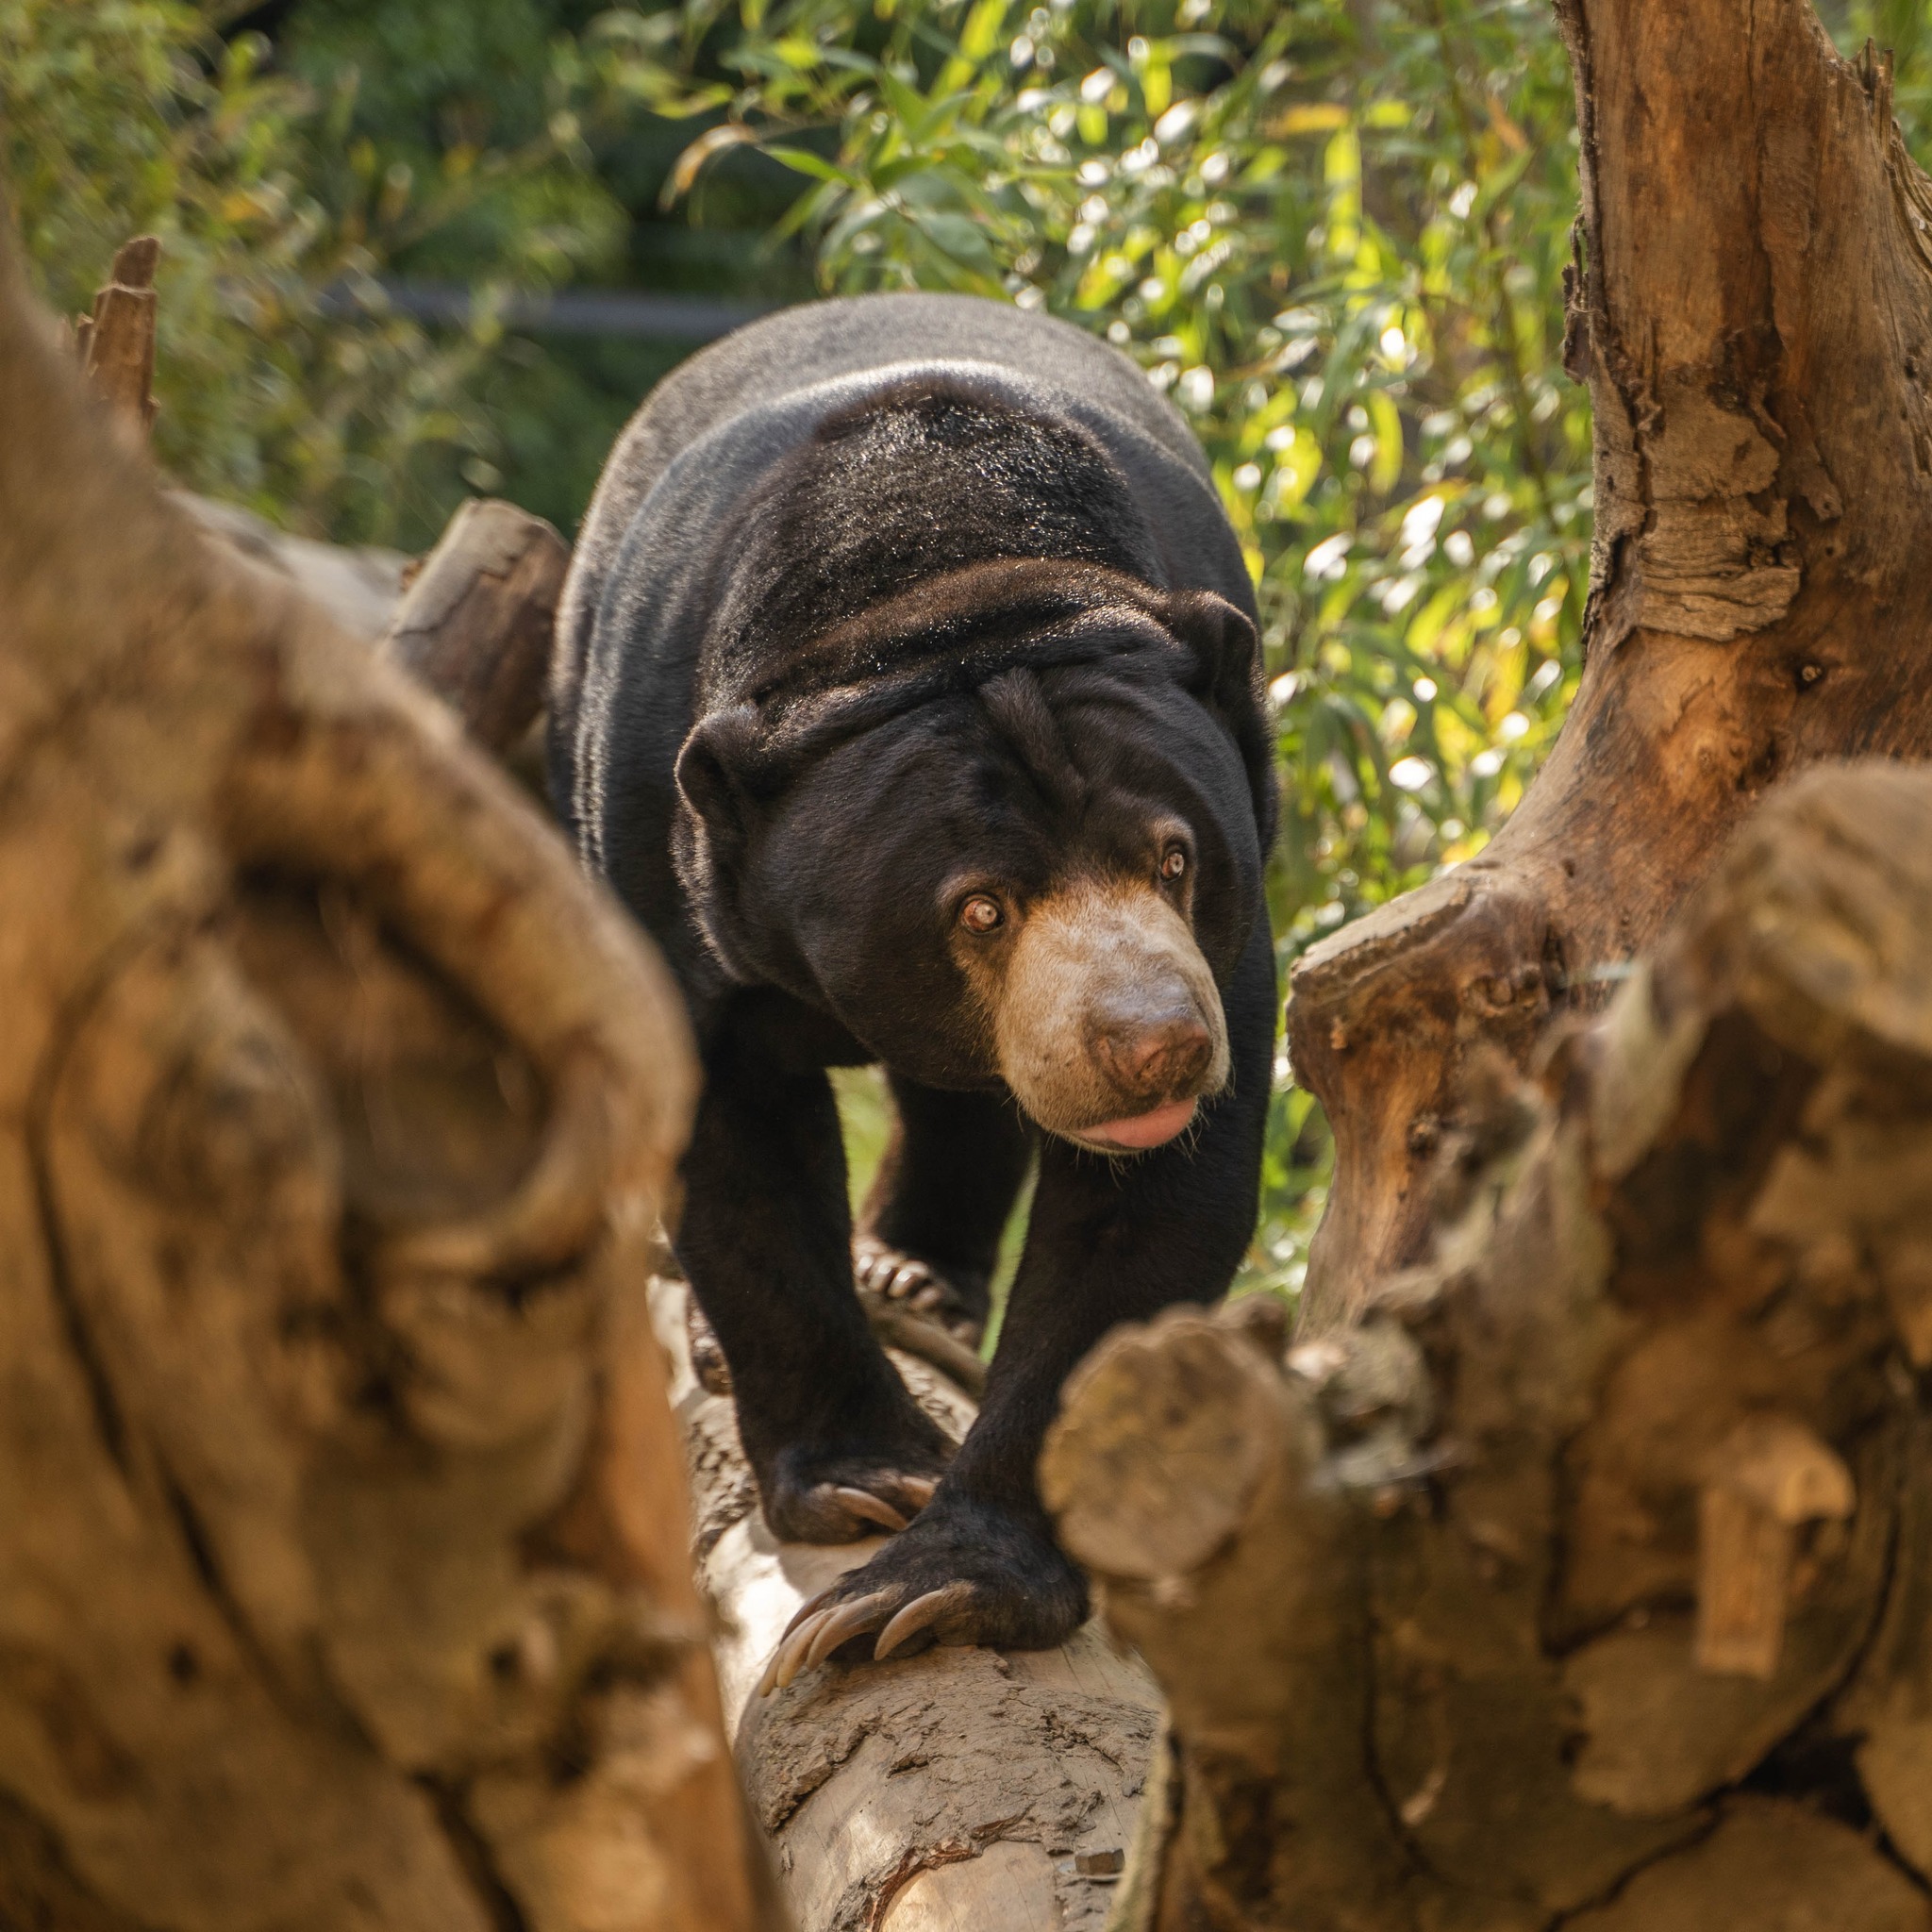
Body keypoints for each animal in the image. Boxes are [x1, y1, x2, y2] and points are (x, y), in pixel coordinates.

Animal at [550, 291, 1276, 1677]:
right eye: (980, 908)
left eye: (1173, 855)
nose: (1152, 1045)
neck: (942, 592)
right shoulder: (665, 849)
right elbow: (733, 1147)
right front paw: (864, 1482)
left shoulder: (1230, 929)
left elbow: (1139, 1223)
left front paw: (935, 1588)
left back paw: (910, 1271)